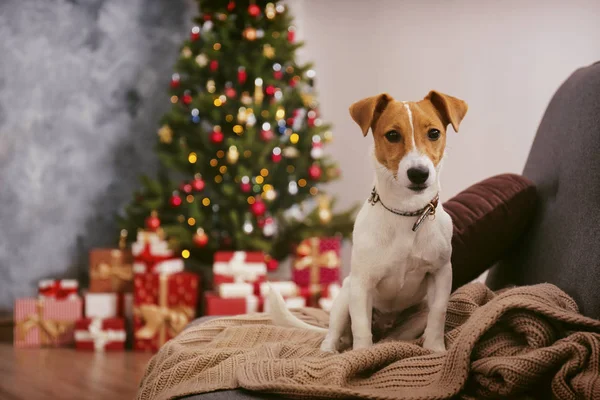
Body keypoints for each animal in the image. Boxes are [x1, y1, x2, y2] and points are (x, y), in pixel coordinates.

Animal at [268, 90, 468, 350]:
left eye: (434, 133)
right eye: (392, 135)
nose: (419, 173)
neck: (406, 212)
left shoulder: (441, 274)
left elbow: (438, 315)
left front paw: (435, 349)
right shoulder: (362, 284)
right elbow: (361, 328)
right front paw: (361, 354)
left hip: (416, 315)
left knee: (400, 334)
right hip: (345, 295)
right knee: (335, 333)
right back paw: (330, 350)